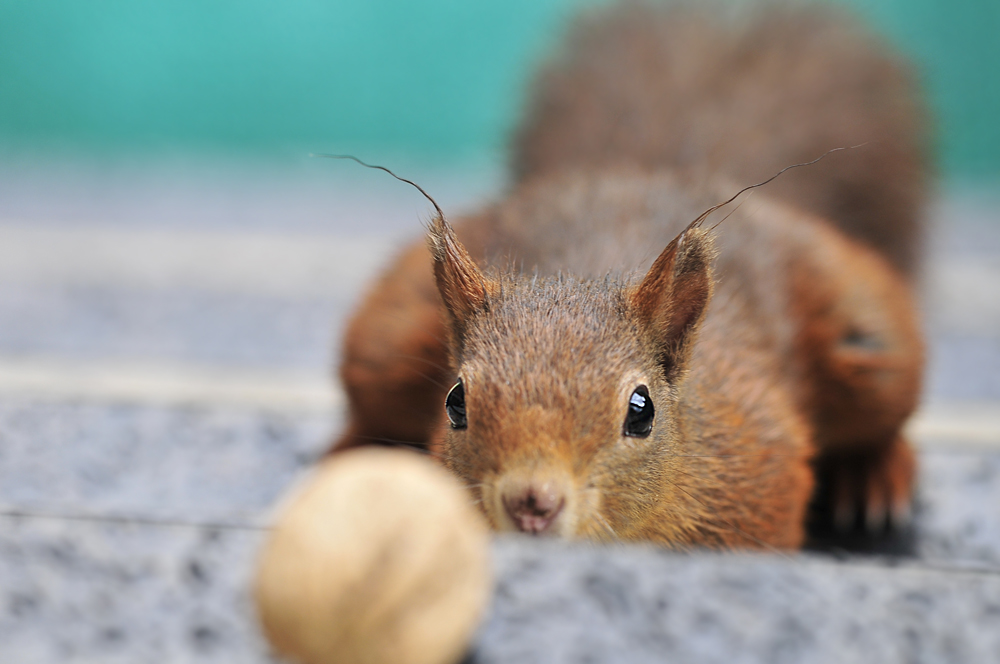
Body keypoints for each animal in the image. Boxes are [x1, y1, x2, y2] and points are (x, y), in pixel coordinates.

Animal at [332, 2, 924, 548]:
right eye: (455, 401)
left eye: (642, 411)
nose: (532, 504)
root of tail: (643, 168)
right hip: (388, 343)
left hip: (870, 346)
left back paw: (873, 476)